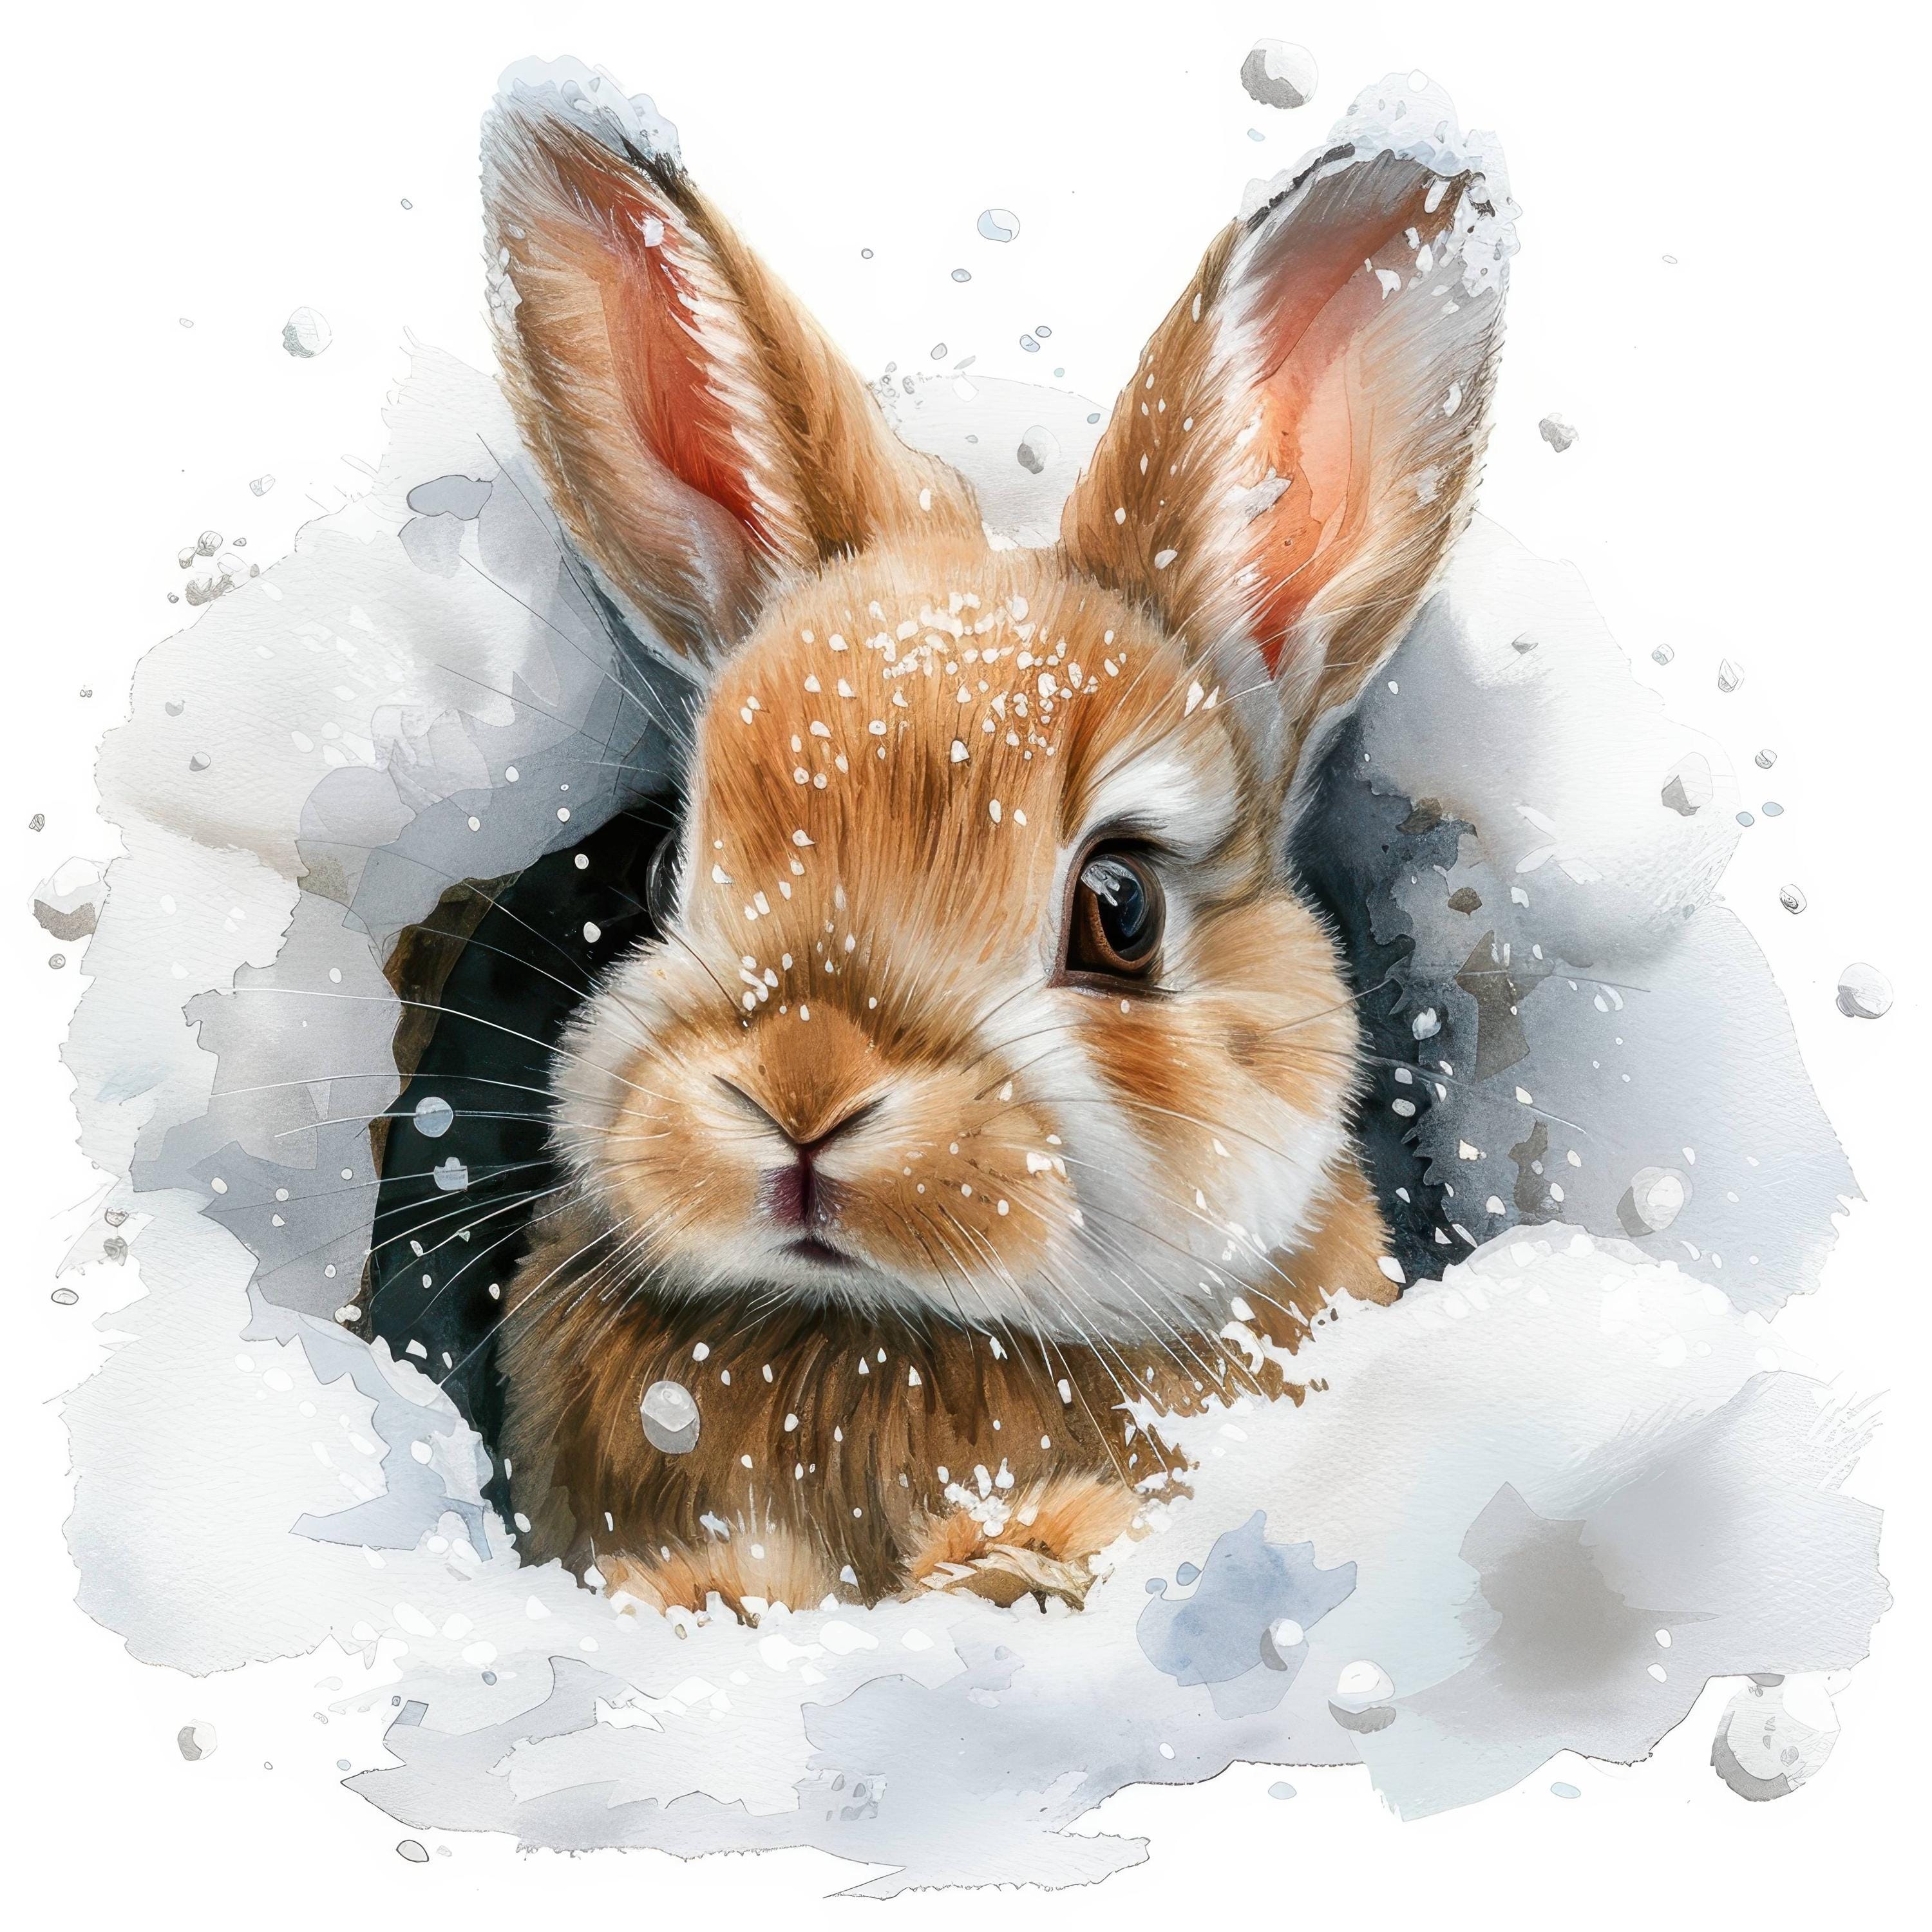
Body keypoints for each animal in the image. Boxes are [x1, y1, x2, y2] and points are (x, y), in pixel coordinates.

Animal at [479, 71, 1506, 1617]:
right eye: (665, 870)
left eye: (1121, 908)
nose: (805, 1092)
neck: (883, 1337)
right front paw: (723, 1588)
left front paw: (1013, 1560)